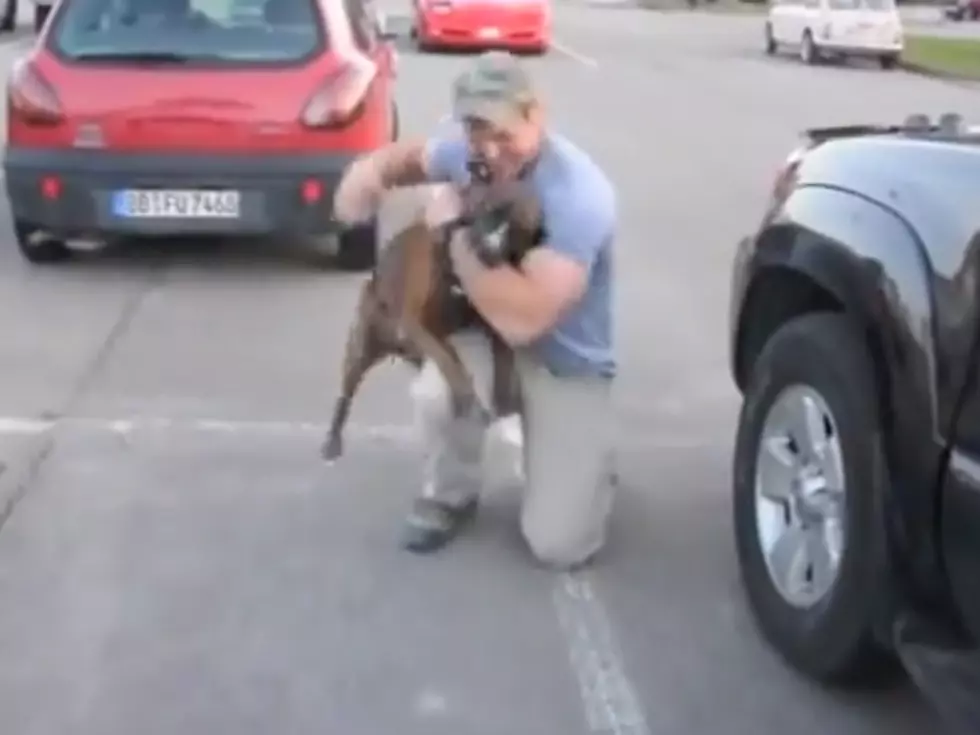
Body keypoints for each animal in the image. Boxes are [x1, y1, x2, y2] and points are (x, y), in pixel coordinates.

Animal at [320, 177, 544, 460]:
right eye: (488, 209)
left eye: (516, 231)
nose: (487, 249)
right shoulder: (419, 324)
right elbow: (450, 359)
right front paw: (468, 400)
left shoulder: (493, 329)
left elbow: (502, 365)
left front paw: (504, 400)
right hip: (362, 346)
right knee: (346, 393)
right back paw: (332, 440)